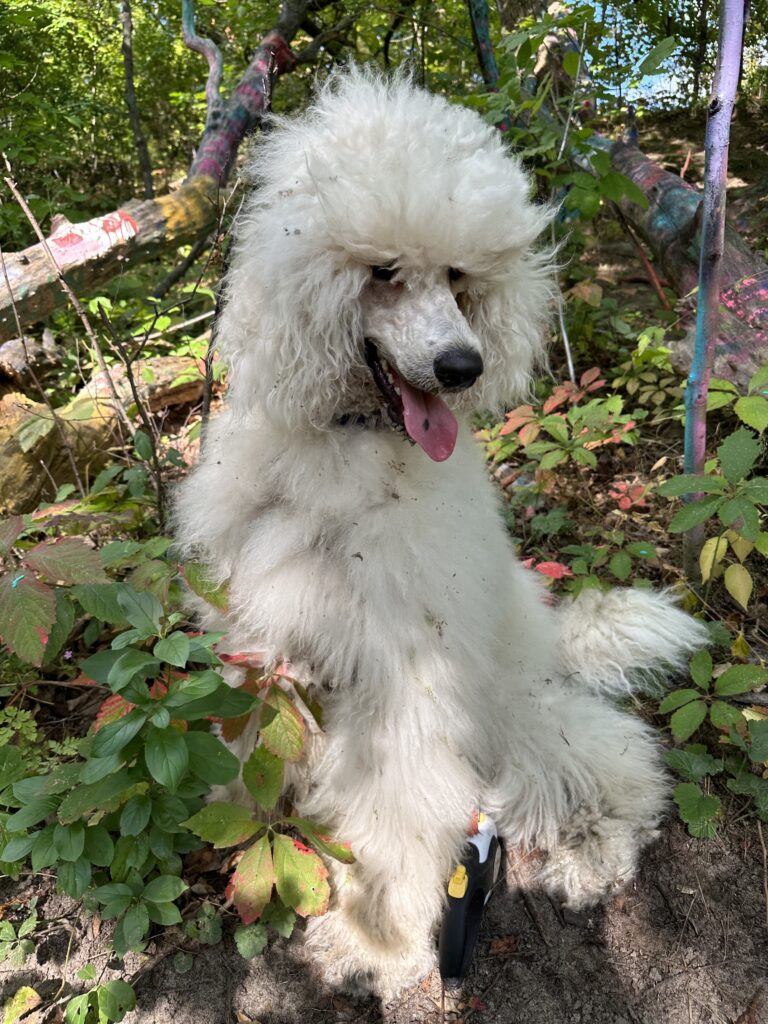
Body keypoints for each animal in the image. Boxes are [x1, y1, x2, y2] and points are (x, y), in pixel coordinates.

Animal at [175, 67, 707, 998]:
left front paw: (375, 937)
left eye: (459, 275)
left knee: (608, 761)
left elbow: (392, 804)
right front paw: (240, 821)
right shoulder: (263, 634)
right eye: (383, 271)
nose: (464, 367)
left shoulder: (406, 672)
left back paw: (591, 846)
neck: (352, 443)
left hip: (520, 712)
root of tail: (553, 641)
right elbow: (249, 746)